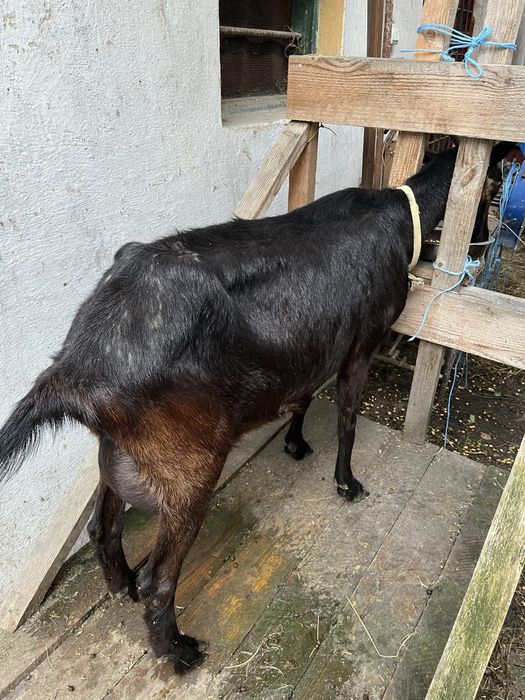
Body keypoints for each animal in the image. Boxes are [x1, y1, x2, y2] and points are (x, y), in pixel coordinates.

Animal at [0, 141, 513, 673]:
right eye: (494, 186)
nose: (486, 246)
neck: (398, 217)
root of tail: (76, 366)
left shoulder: (313, 347)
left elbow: (304, 394)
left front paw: (295, 442)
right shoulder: (360, 344)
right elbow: (348, 417)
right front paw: (346, 482)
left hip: (118, 451)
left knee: (104, 528)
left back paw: (121, 588)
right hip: (188, 467)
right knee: (158, 579)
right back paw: (178, 651)